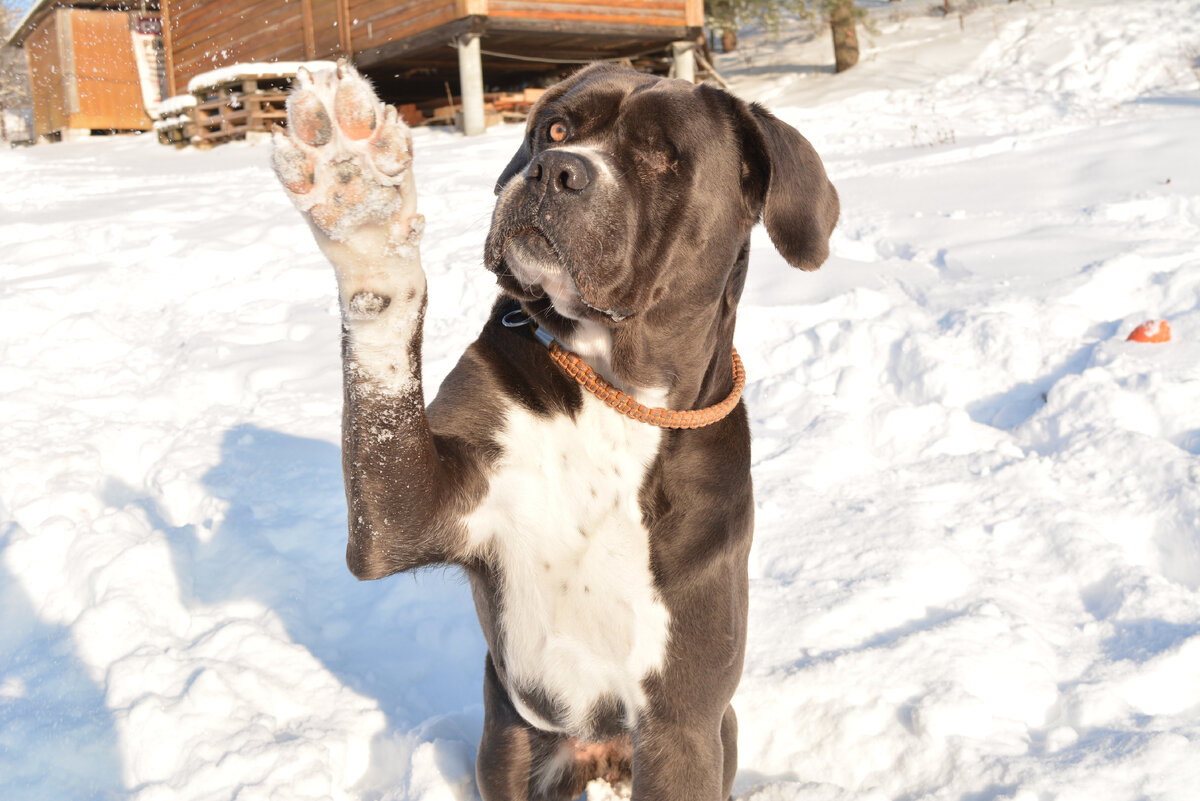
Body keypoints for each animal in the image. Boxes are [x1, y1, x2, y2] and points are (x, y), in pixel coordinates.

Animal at [272, 61, 835, 801]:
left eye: (664, 156)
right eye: (557, 129)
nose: (554, 171)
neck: (616, 399)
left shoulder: (681, 724)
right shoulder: (405, 517)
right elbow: (383, 374)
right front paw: (358, 200)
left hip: (719, 732)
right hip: (507, 737)